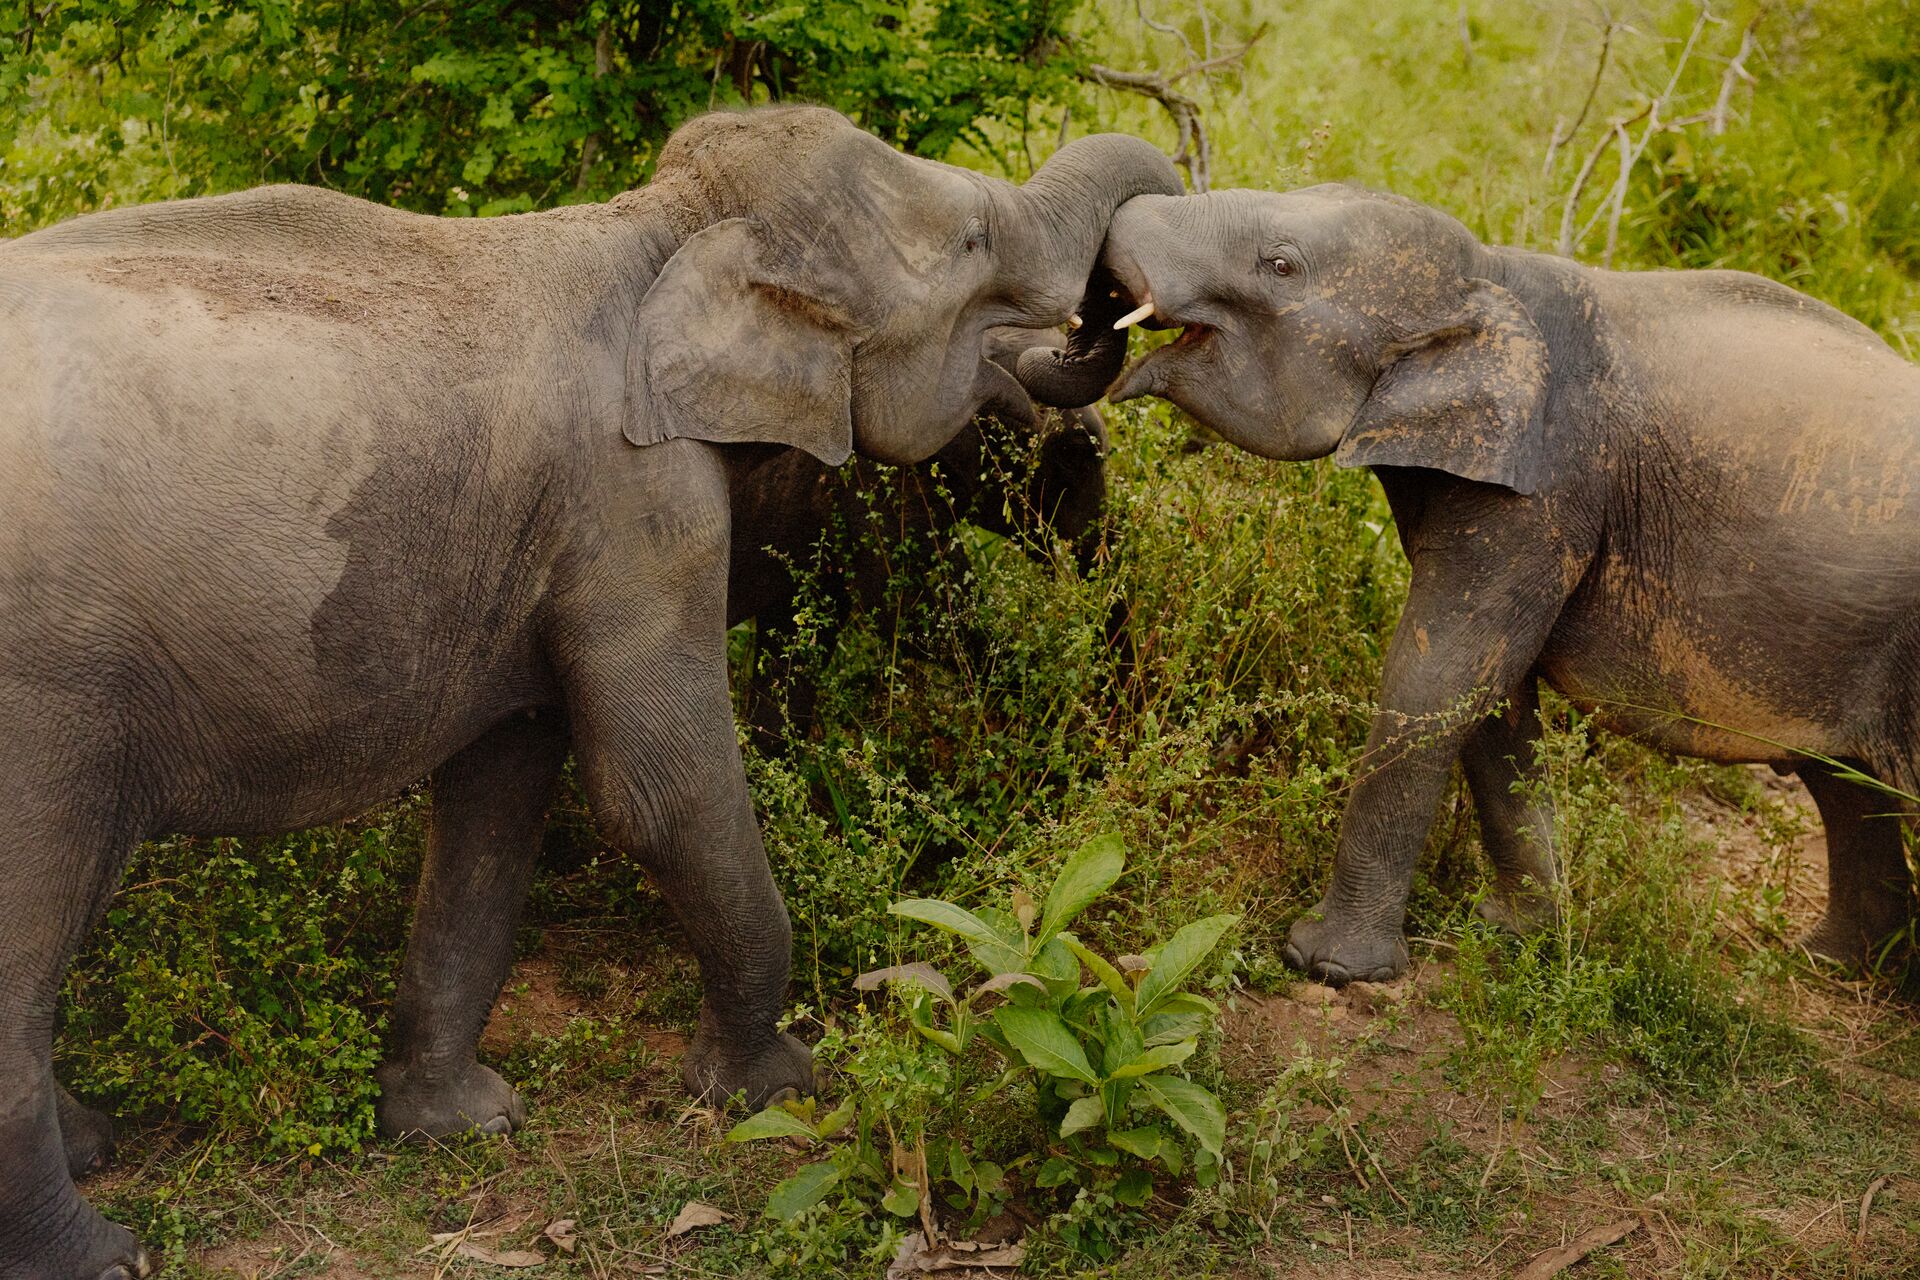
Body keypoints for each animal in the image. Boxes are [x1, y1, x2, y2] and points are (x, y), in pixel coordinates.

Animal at [1100, 183, 1920, 985]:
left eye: (1280, 265)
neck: (1491, 274)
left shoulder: (1550, 483)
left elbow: (1438, 675)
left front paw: (1327, 966)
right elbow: (1490, 691)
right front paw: (1515, 935)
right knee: (1847, 787)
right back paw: (1830, 966)